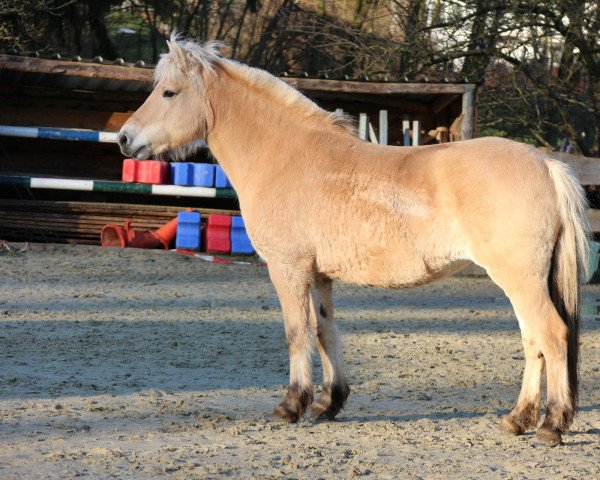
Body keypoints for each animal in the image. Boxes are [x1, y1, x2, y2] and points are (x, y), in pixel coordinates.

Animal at [118, 36, 592, 446]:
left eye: (169, 92)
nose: (124, 138)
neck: (286, 157)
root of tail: (545, 163)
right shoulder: (318, 275)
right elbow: (324, 331)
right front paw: (329, 403)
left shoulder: (288, 269)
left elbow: (296, 332)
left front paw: (291, 406)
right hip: (521, 282)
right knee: (533, 342)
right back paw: (518, 419)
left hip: (520, 279)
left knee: (551, 335)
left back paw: (551, 425)